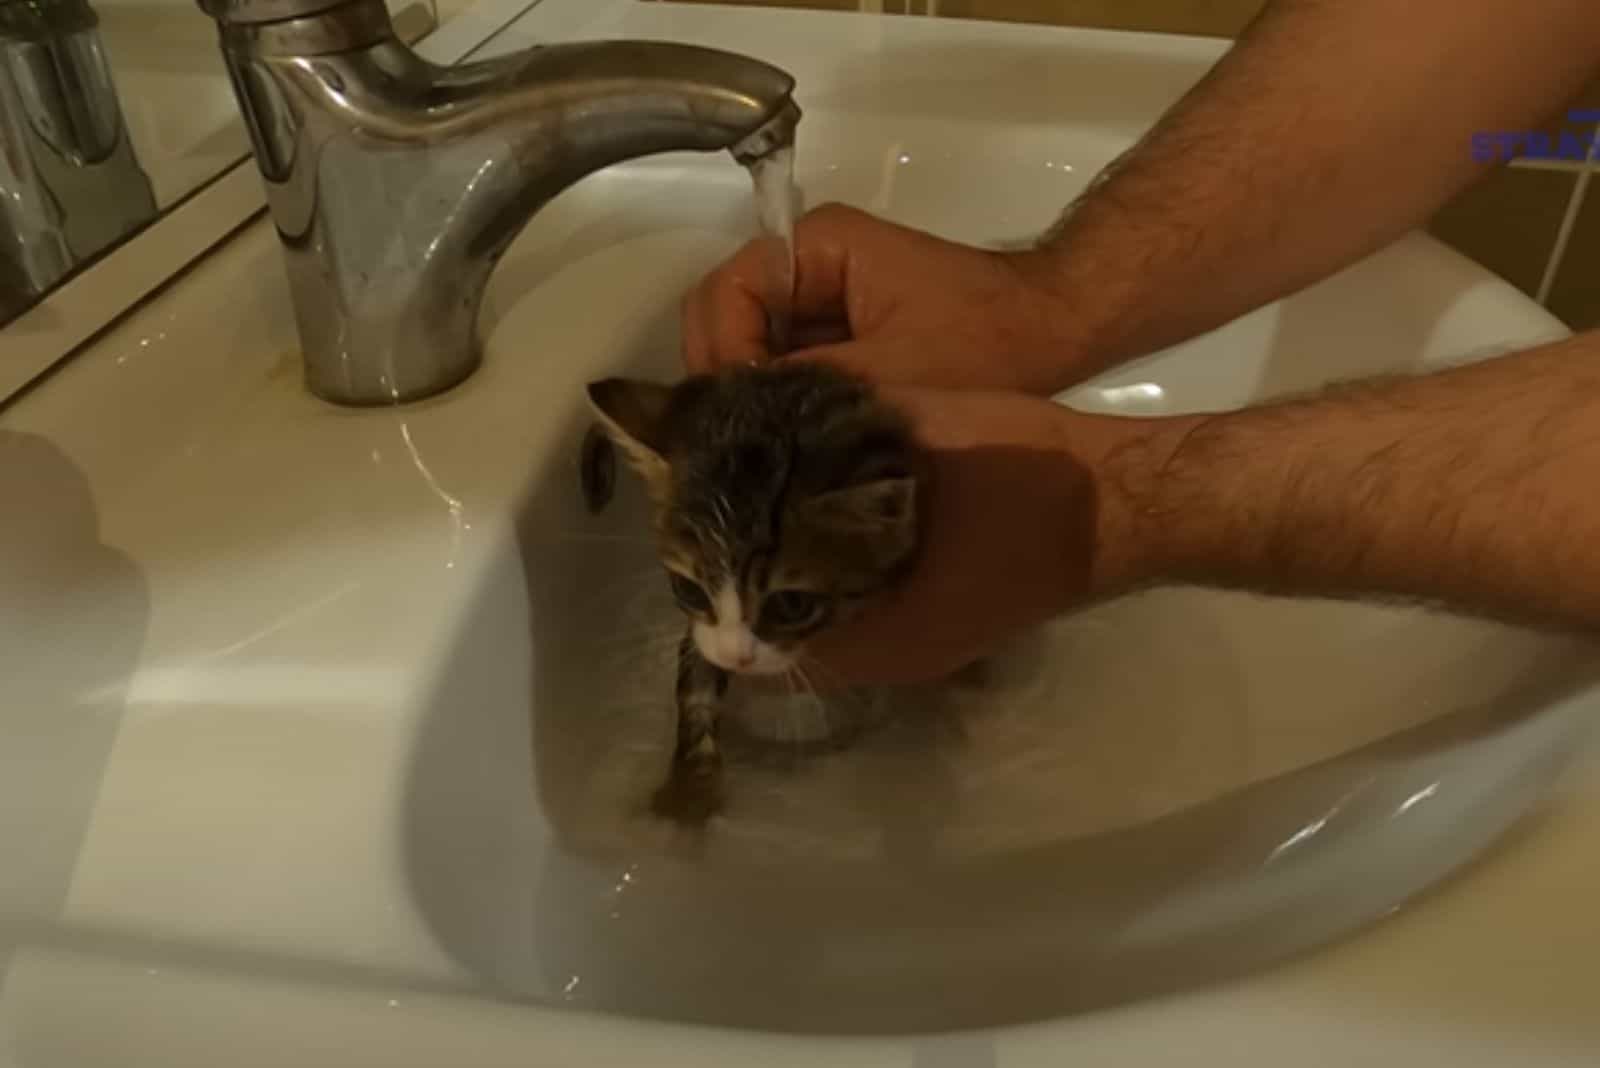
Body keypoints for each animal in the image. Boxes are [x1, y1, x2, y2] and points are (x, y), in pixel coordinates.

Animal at [585, 362, 928, 824]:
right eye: (688, 589)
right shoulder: (702, 629)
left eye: (792, 604)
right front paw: (689, 787)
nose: (737, 658)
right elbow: (697, 673)